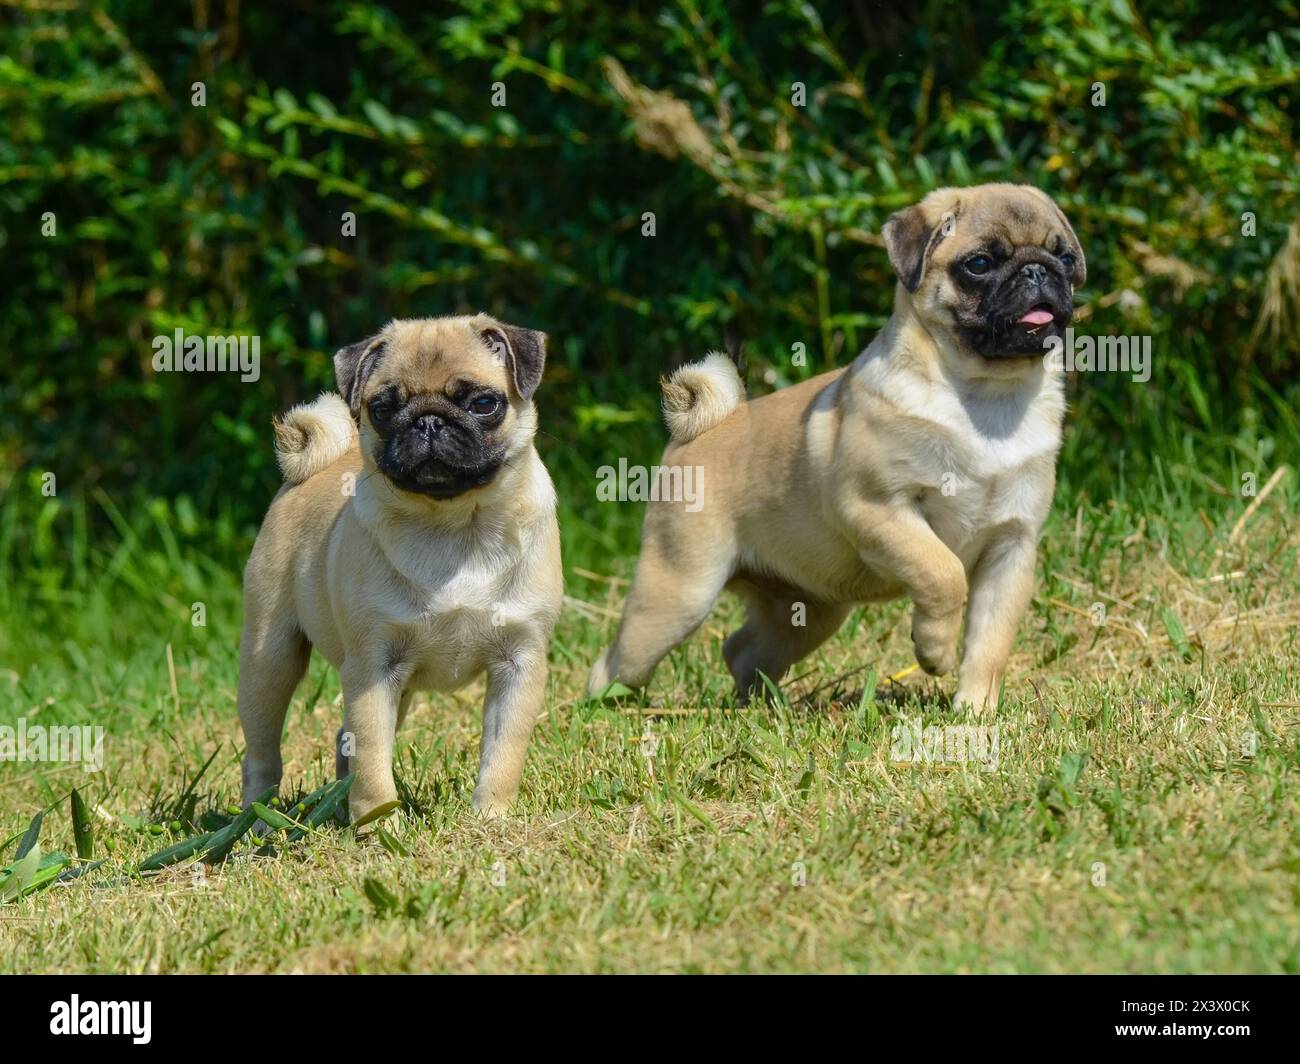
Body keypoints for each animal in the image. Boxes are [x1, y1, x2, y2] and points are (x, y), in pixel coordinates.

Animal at [240, 310, 564, 827]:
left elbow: (503, 752)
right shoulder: (373, 667)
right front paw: (379, 822)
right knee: (263, 752)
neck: (454, 525)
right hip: (269, 658)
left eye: (484, 403)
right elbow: (372, 755)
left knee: (344, 739)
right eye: (383, 409)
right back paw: (257, 819)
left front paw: (490, 816)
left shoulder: (520, 662)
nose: (428, 420)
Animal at [592, 182, 1086, 712]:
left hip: (811, 609)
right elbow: (943, 572)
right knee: (617, 661)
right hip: (678, 594)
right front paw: (934, 651)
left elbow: (990, 643)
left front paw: (975, 712)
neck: (986, 397)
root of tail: (700, 433)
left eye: (1064, 257)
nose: (1037, 269)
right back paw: (603, 707)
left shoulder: (1011, 549)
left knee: (743, 649)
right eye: (978, 263)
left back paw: (762, 706)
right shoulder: (879, 510)